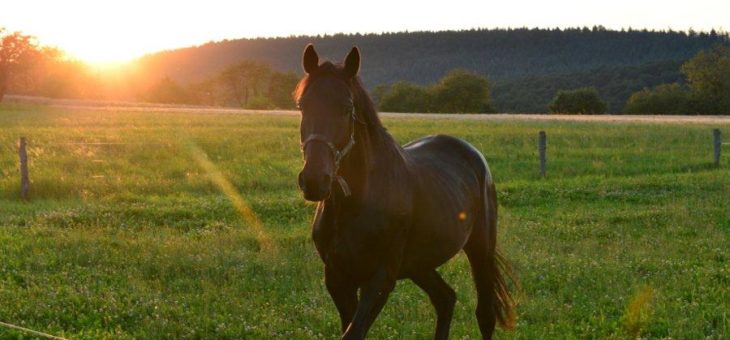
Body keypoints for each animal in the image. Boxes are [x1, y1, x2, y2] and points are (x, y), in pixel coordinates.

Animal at [294, 45, 512, 340]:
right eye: (302, 105)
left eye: (347, 108)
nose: (315, 180)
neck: (356, 202)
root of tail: (472, 154)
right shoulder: (338, 278)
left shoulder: (381, 278)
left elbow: (354, 332)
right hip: (419, 264)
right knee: (445, 299)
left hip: (480, 249)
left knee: (485, 314)